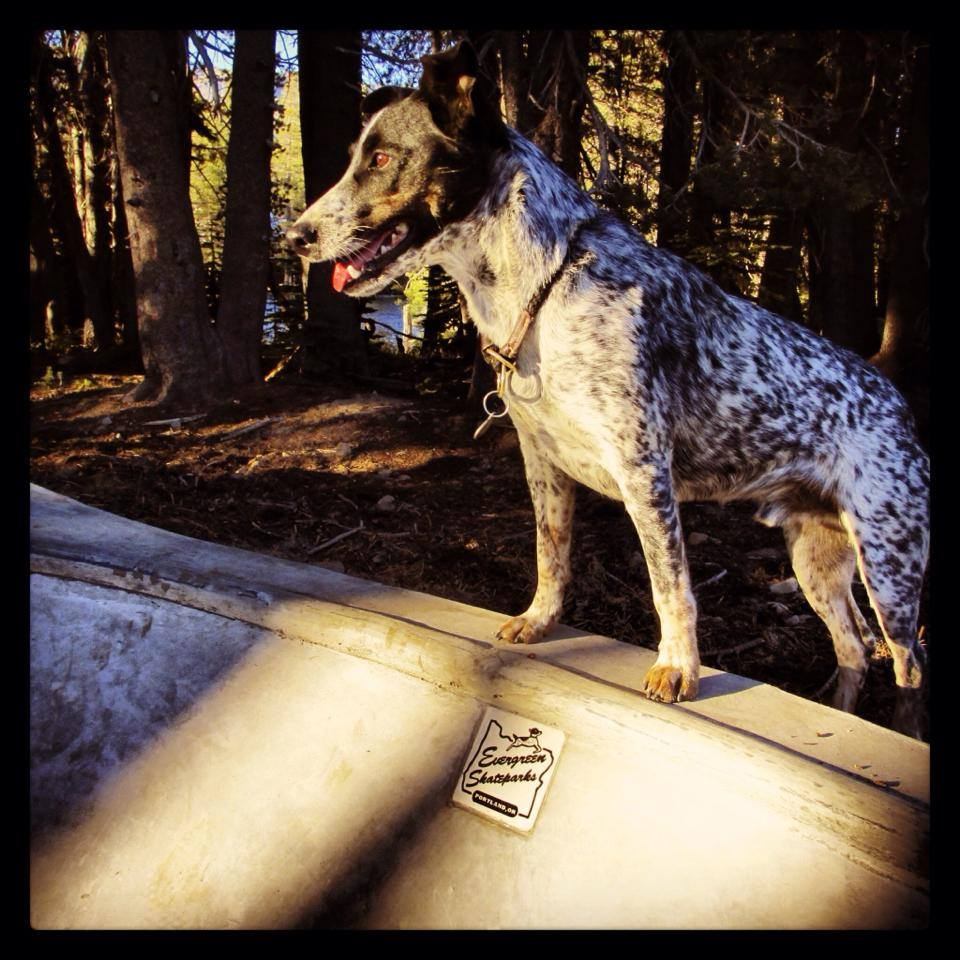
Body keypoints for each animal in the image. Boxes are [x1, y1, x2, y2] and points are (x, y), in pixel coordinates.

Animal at [286, 41, 928, 740]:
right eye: (357, 156)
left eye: (380, 159)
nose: (293, 236)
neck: (544, 287)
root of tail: (900, 405)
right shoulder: (542, 464)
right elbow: (551, 555)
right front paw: (539, 620)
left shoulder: (645, 473)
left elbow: (670, 585)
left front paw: (678, 669)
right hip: (817, 560)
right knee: (853, 648)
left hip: (889, 567)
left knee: (907, 666)